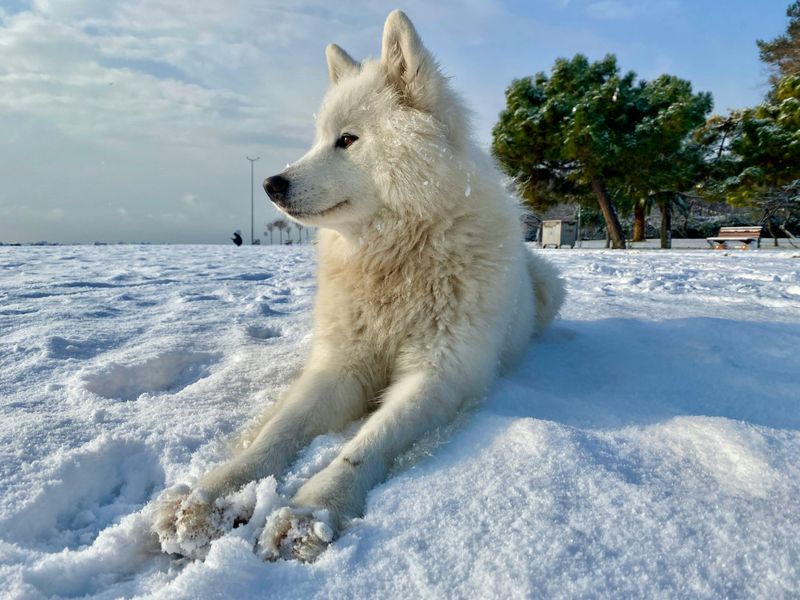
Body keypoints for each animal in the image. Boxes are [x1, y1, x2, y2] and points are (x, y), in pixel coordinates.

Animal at [153, 9, 565, 563]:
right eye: (316, 138)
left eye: (346, 140)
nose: (271, 184)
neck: (395, 258)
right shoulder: (341, 364)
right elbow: (277, 433)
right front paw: (209, 496)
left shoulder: (439, 375)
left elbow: (365, 446)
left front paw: (311, 512)